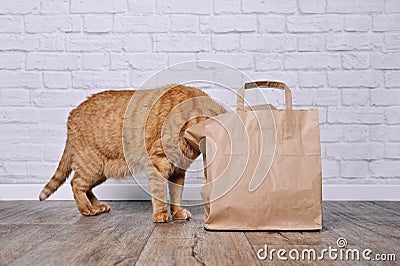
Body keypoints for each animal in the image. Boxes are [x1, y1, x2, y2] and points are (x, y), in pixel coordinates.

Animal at [39, 85, 227, 222]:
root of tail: (72, 114)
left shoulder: (178, 171)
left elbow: (176, 195)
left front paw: (178, 212)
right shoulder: (158, 163)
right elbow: (159, 193)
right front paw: (161, 215)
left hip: (100, 171)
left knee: (86, 187)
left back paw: (98, 206)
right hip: (92, 166)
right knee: (76, 184)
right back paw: (87, 208)